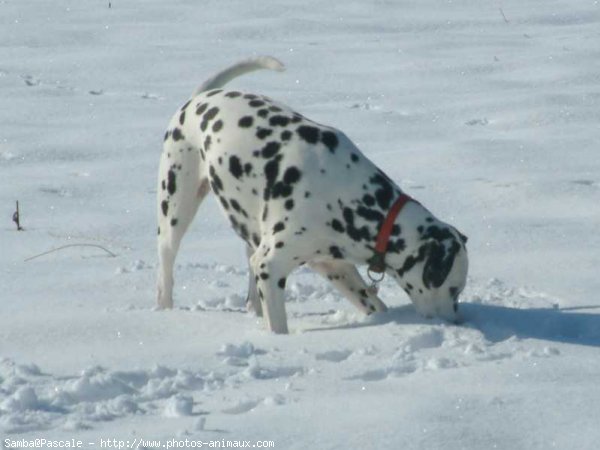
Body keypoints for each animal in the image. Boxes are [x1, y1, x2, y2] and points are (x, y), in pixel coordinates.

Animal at [158, 55, 468, 334]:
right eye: (453, 289)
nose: (456, 321)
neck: (350, 199)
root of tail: (198, 99)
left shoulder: (334, 265)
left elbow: (373, 303)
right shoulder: (270, 266)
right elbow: (278, 325)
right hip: (175, 210)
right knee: (166, 269)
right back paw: (165, 311)